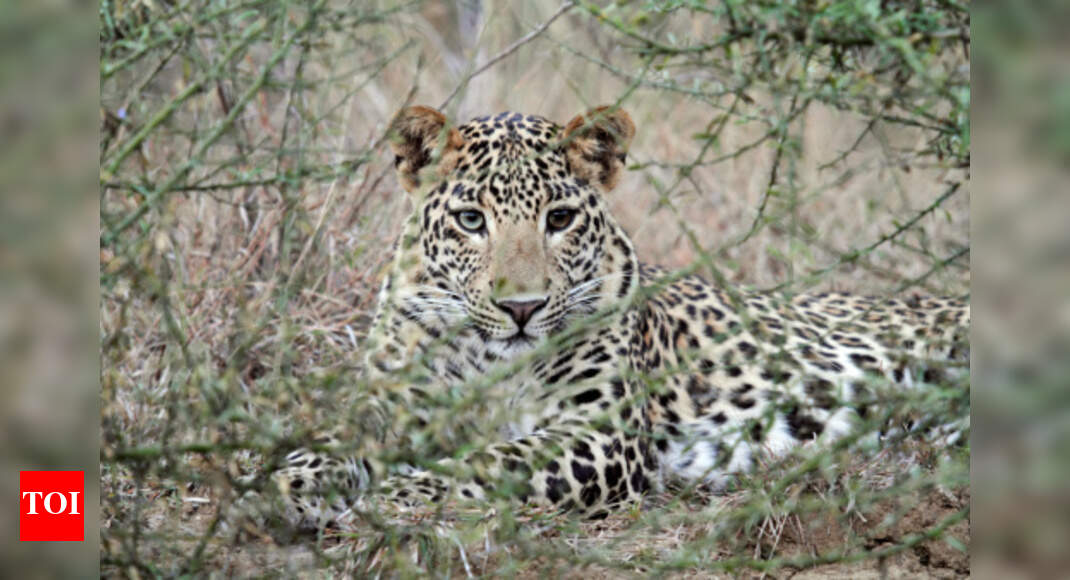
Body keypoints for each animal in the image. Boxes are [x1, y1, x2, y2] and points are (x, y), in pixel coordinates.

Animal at [267, 105, 970, 529]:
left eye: (559, 218)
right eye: (471, 220)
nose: (520, 308)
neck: (488, 359)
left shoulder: (601, 432)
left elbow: (492, 458)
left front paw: (399, 496)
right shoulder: (385, 405)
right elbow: (326, 444)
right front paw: (284, 486)